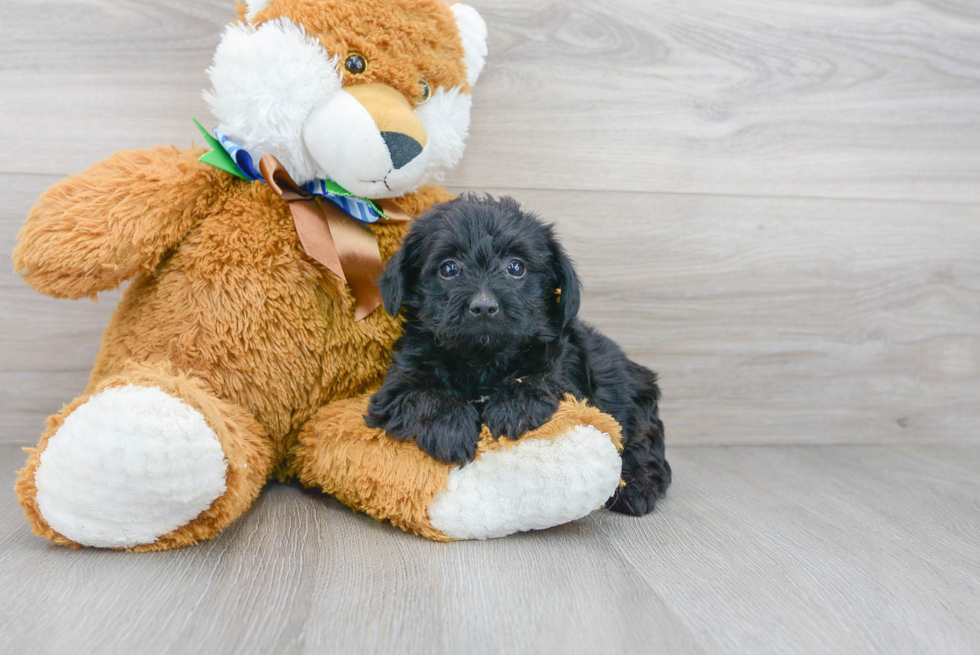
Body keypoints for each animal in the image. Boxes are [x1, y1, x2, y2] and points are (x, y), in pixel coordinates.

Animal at [368, 195, 672, 516]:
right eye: (449, 269)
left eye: (516, 267)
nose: (484, 307)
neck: (482, 359)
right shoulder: (396, 385)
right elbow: (423, 394)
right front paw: (450, 429)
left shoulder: (568, 374)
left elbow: (541, 378)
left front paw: (513, 408)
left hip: (636, 401)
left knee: (644, 444)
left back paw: (637, 488)